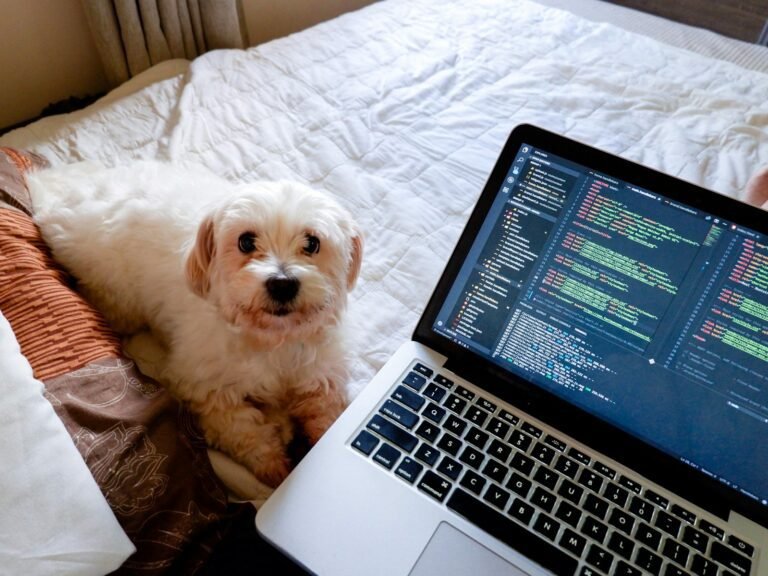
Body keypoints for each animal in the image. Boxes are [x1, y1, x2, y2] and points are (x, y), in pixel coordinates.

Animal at [29, 160, 364, 488]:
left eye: (312, 243)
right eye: (246, 241)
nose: (282, 284)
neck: (271, 337)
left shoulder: (323, 372)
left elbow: (327, 413)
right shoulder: (205, 388)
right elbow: (242, 429)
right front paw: (271, 460)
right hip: (119, 298)